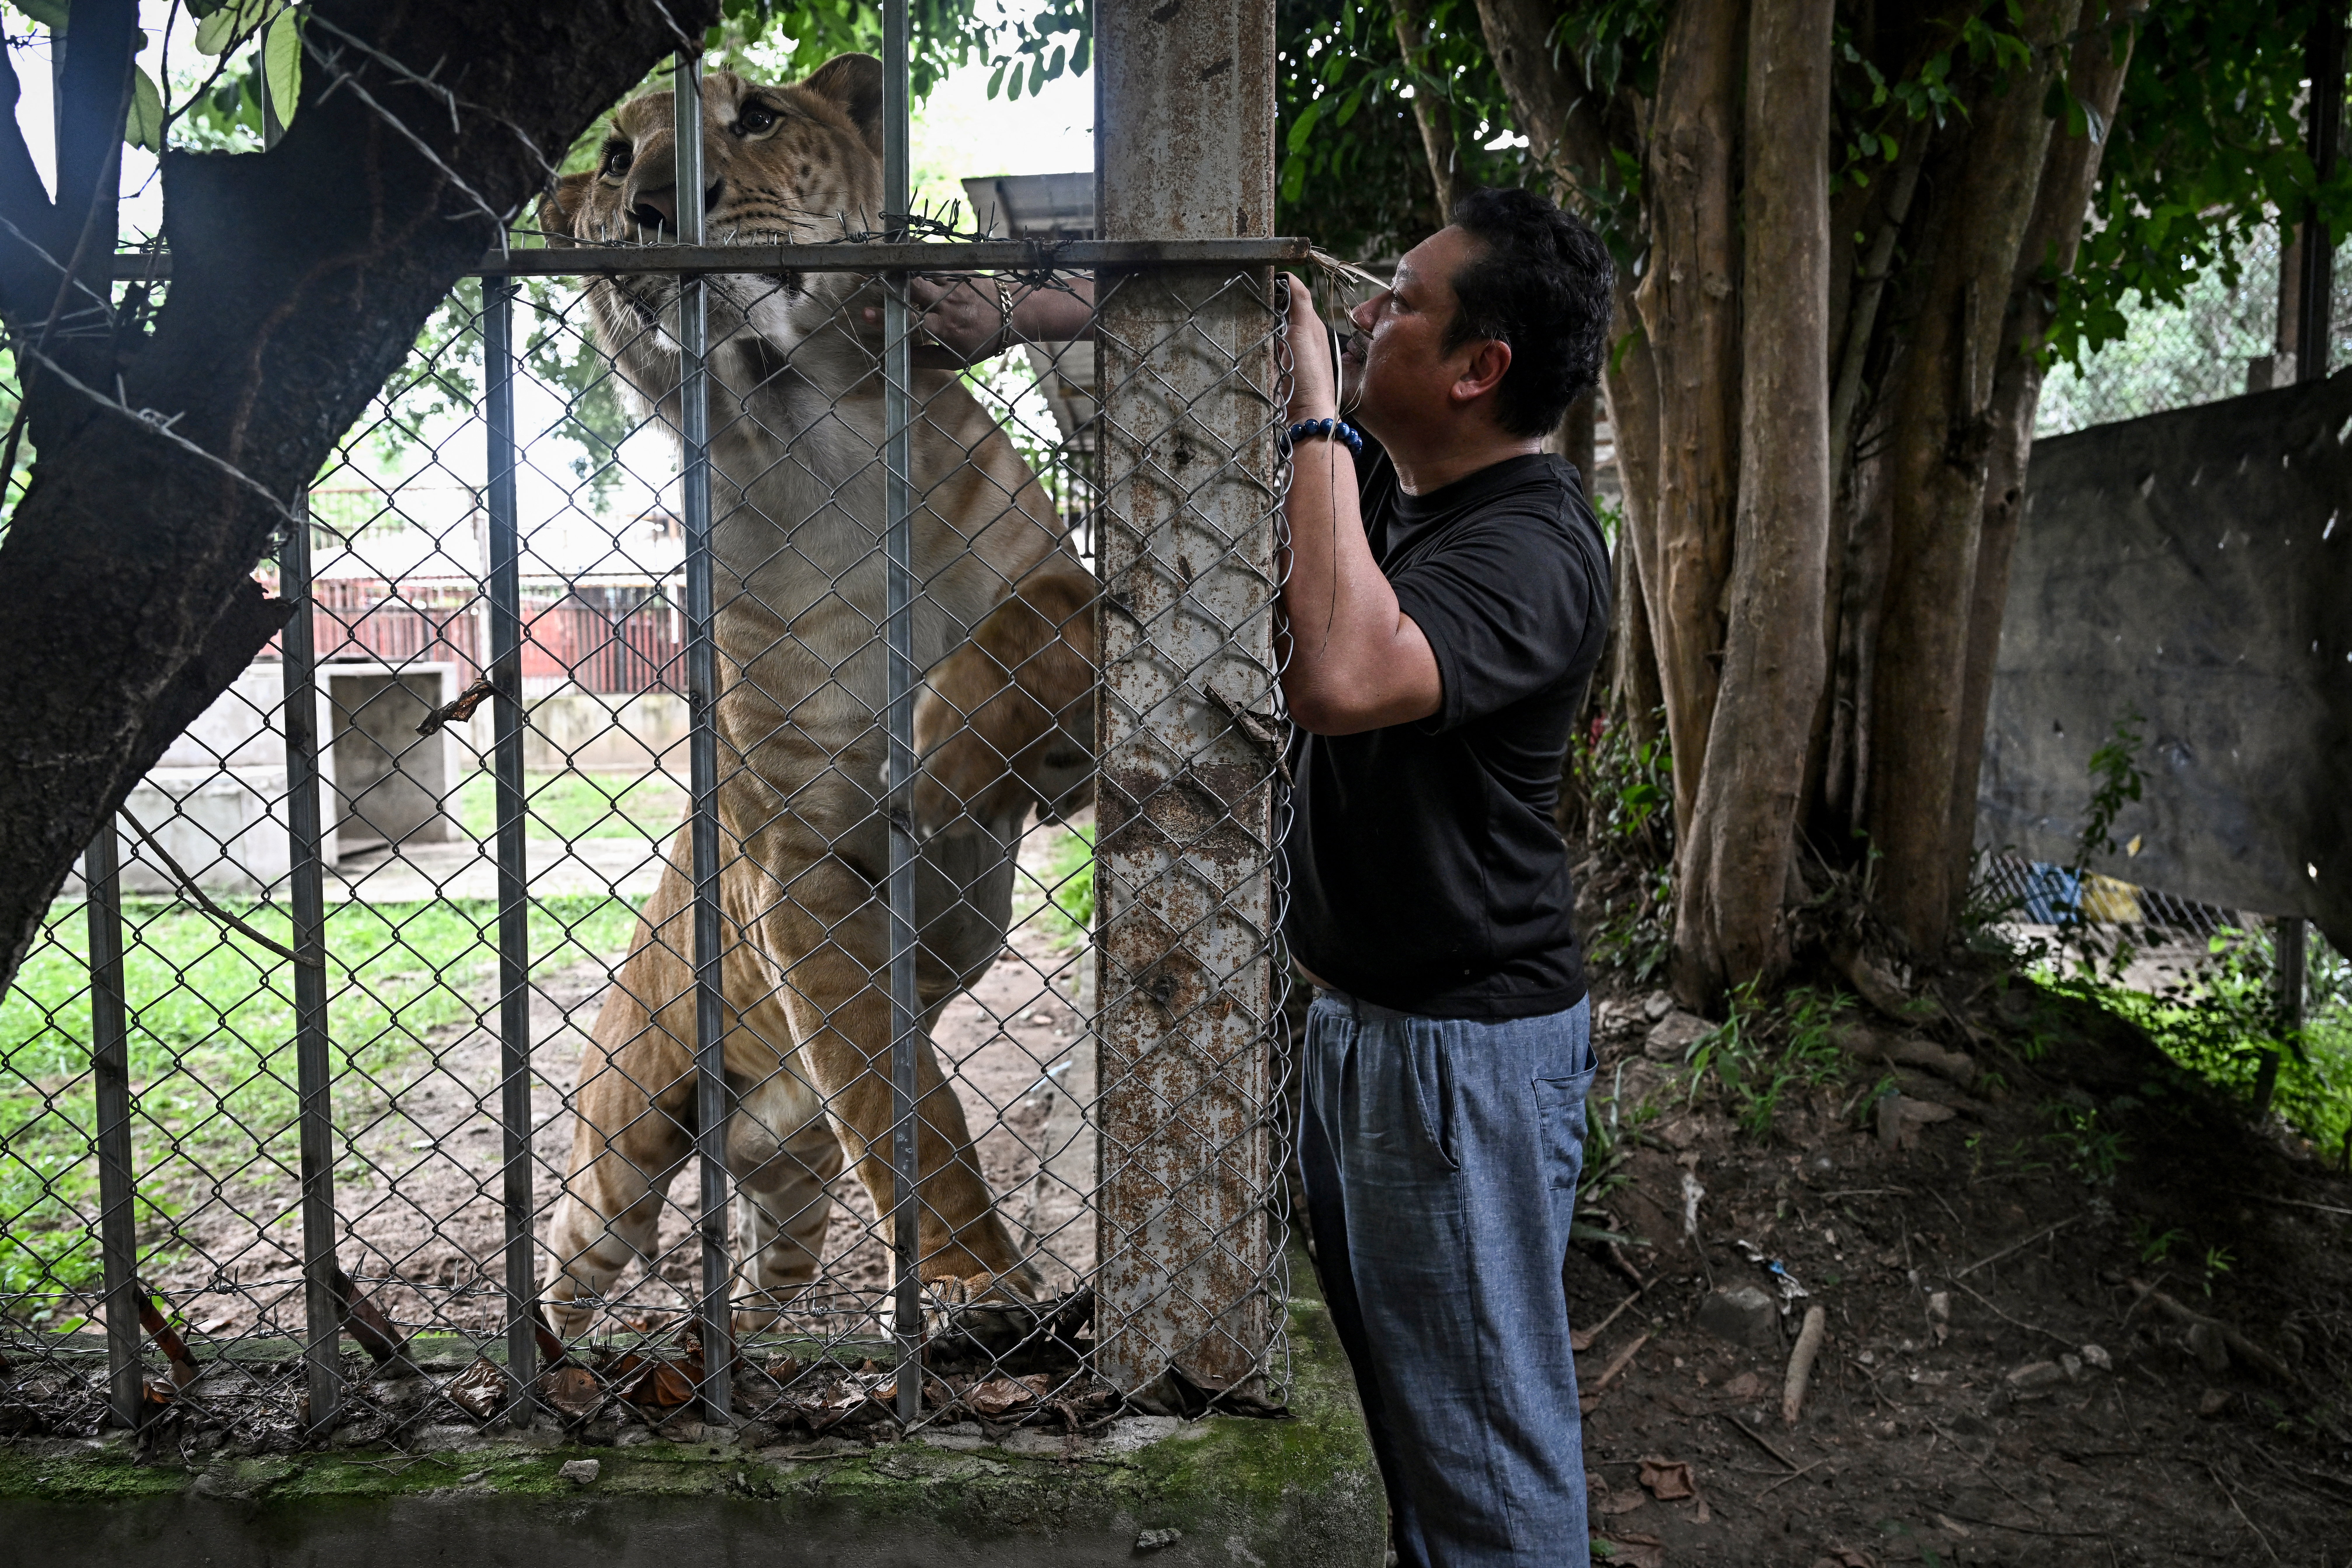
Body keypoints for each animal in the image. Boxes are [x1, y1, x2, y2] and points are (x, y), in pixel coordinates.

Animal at [535, 55, 1098, 1338]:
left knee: (757, 1287)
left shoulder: (1077, 601)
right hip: (617, 1158)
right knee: (568, 1272)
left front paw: (946, 759)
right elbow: (902, 1100)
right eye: (614, 155)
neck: (803, 435)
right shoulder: (794, 856)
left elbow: (1032, 629)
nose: (653, 207)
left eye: (756, 117)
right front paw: (974, 1278)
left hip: (793, 1204)